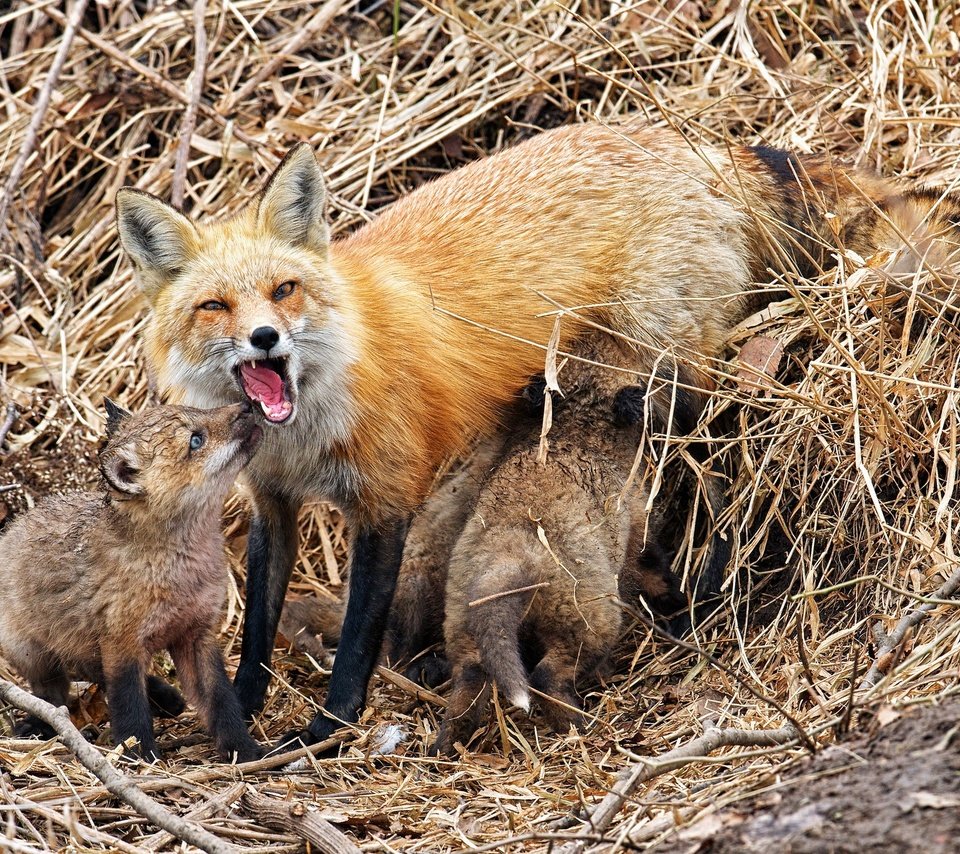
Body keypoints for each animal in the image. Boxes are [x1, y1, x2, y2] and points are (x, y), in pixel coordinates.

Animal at [116, 120, 956, 748]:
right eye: (215, 307)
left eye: (285, 290)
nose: (265, 339)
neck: (315, 413)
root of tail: (697, 145)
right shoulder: (274, 506)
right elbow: (257, 630)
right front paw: (243, 714)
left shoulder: (386, 505)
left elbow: (356, 643)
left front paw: (328, 729)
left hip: (673, 375)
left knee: (714, 465)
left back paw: (704, 595)